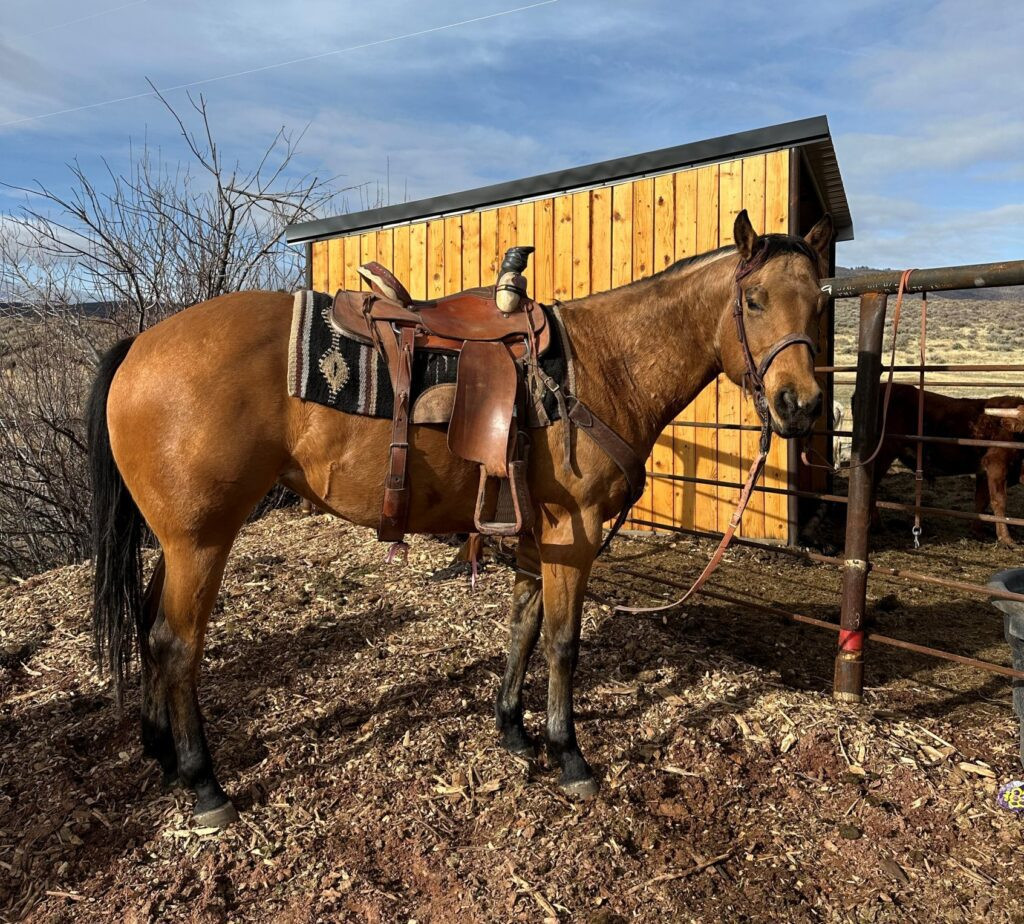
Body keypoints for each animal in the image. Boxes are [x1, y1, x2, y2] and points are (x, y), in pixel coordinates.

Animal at [87, 209, 832, 826]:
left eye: (819, 301)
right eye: (754, 301)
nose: (799, 406)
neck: (601, 366)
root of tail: (141, 344)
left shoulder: (537, 537)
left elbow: (523, 629)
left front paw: (513, 730)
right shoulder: (574, 535)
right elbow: (563, 643)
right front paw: (569, 754)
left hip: (178, 541)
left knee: (149, 625)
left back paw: (162, 754)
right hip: (202, 540)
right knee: (177, 644)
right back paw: (204, 784)